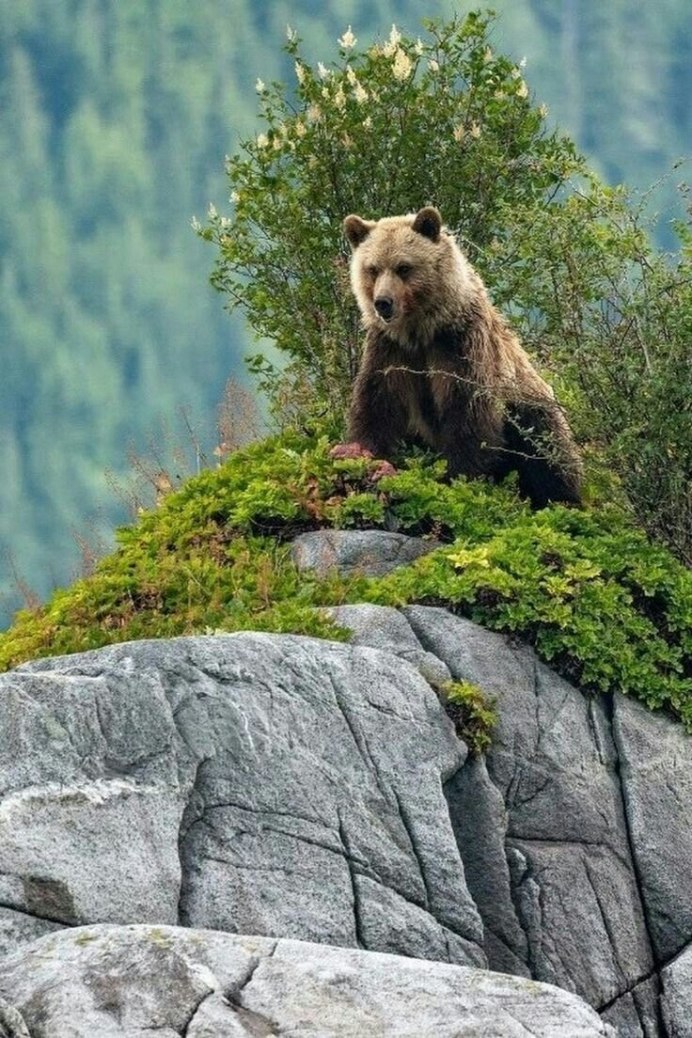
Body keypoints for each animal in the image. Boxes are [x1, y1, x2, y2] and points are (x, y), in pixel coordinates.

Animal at [338, 206, 583, 508]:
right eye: (372, 269)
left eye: (403, 267)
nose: (383, 303)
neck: (421, 332)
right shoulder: (390, 350)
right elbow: (377, 400)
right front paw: (361, 453)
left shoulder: (460, 347)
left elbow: (467, 409)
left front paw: (457, 477)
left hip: (530, 406)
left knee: (547, 452)